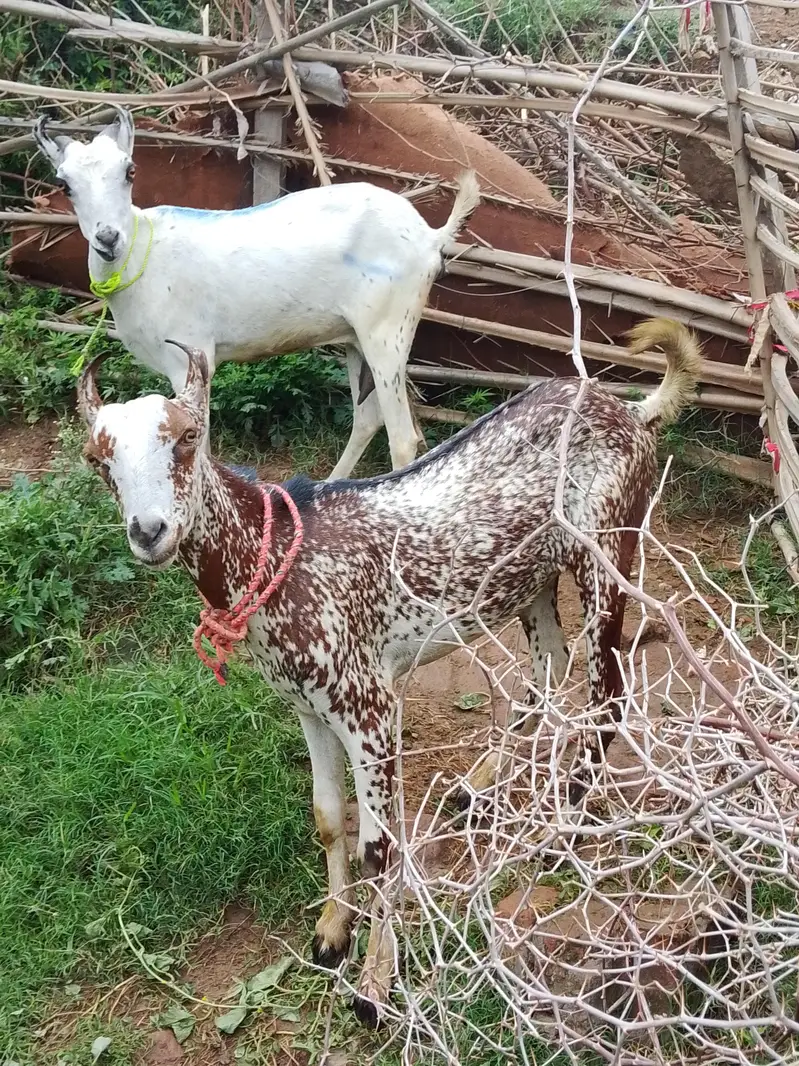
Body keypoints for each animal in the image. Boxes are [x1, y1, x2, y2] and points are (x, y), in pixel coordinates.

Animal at [34, 107, 480, 480]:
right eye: (64, 184)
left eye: (129, 170)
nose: (108, 238)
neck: (143, 256)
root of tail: (430, 236)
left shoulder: (190, 355)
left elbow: (198, 442)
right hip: (357, 338)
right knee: (368, 417)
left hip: (389, 329)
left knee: (402, 437)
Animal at [78, 318, 702, 1025]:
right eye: (99, 461)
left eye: (187, 438)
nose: (149, 531)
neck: (278, 559)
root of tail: (631, 412)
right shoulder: (306, 704)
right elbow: (327, 817)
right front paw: (331, 932)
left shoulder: (368, 707)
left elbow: (380, 847)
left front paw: (376, 983)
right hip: (529, 578)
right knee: (549, 667)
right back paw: (483, 786)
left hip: (607, 547)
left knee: (609, 690)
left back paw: (562, 824)